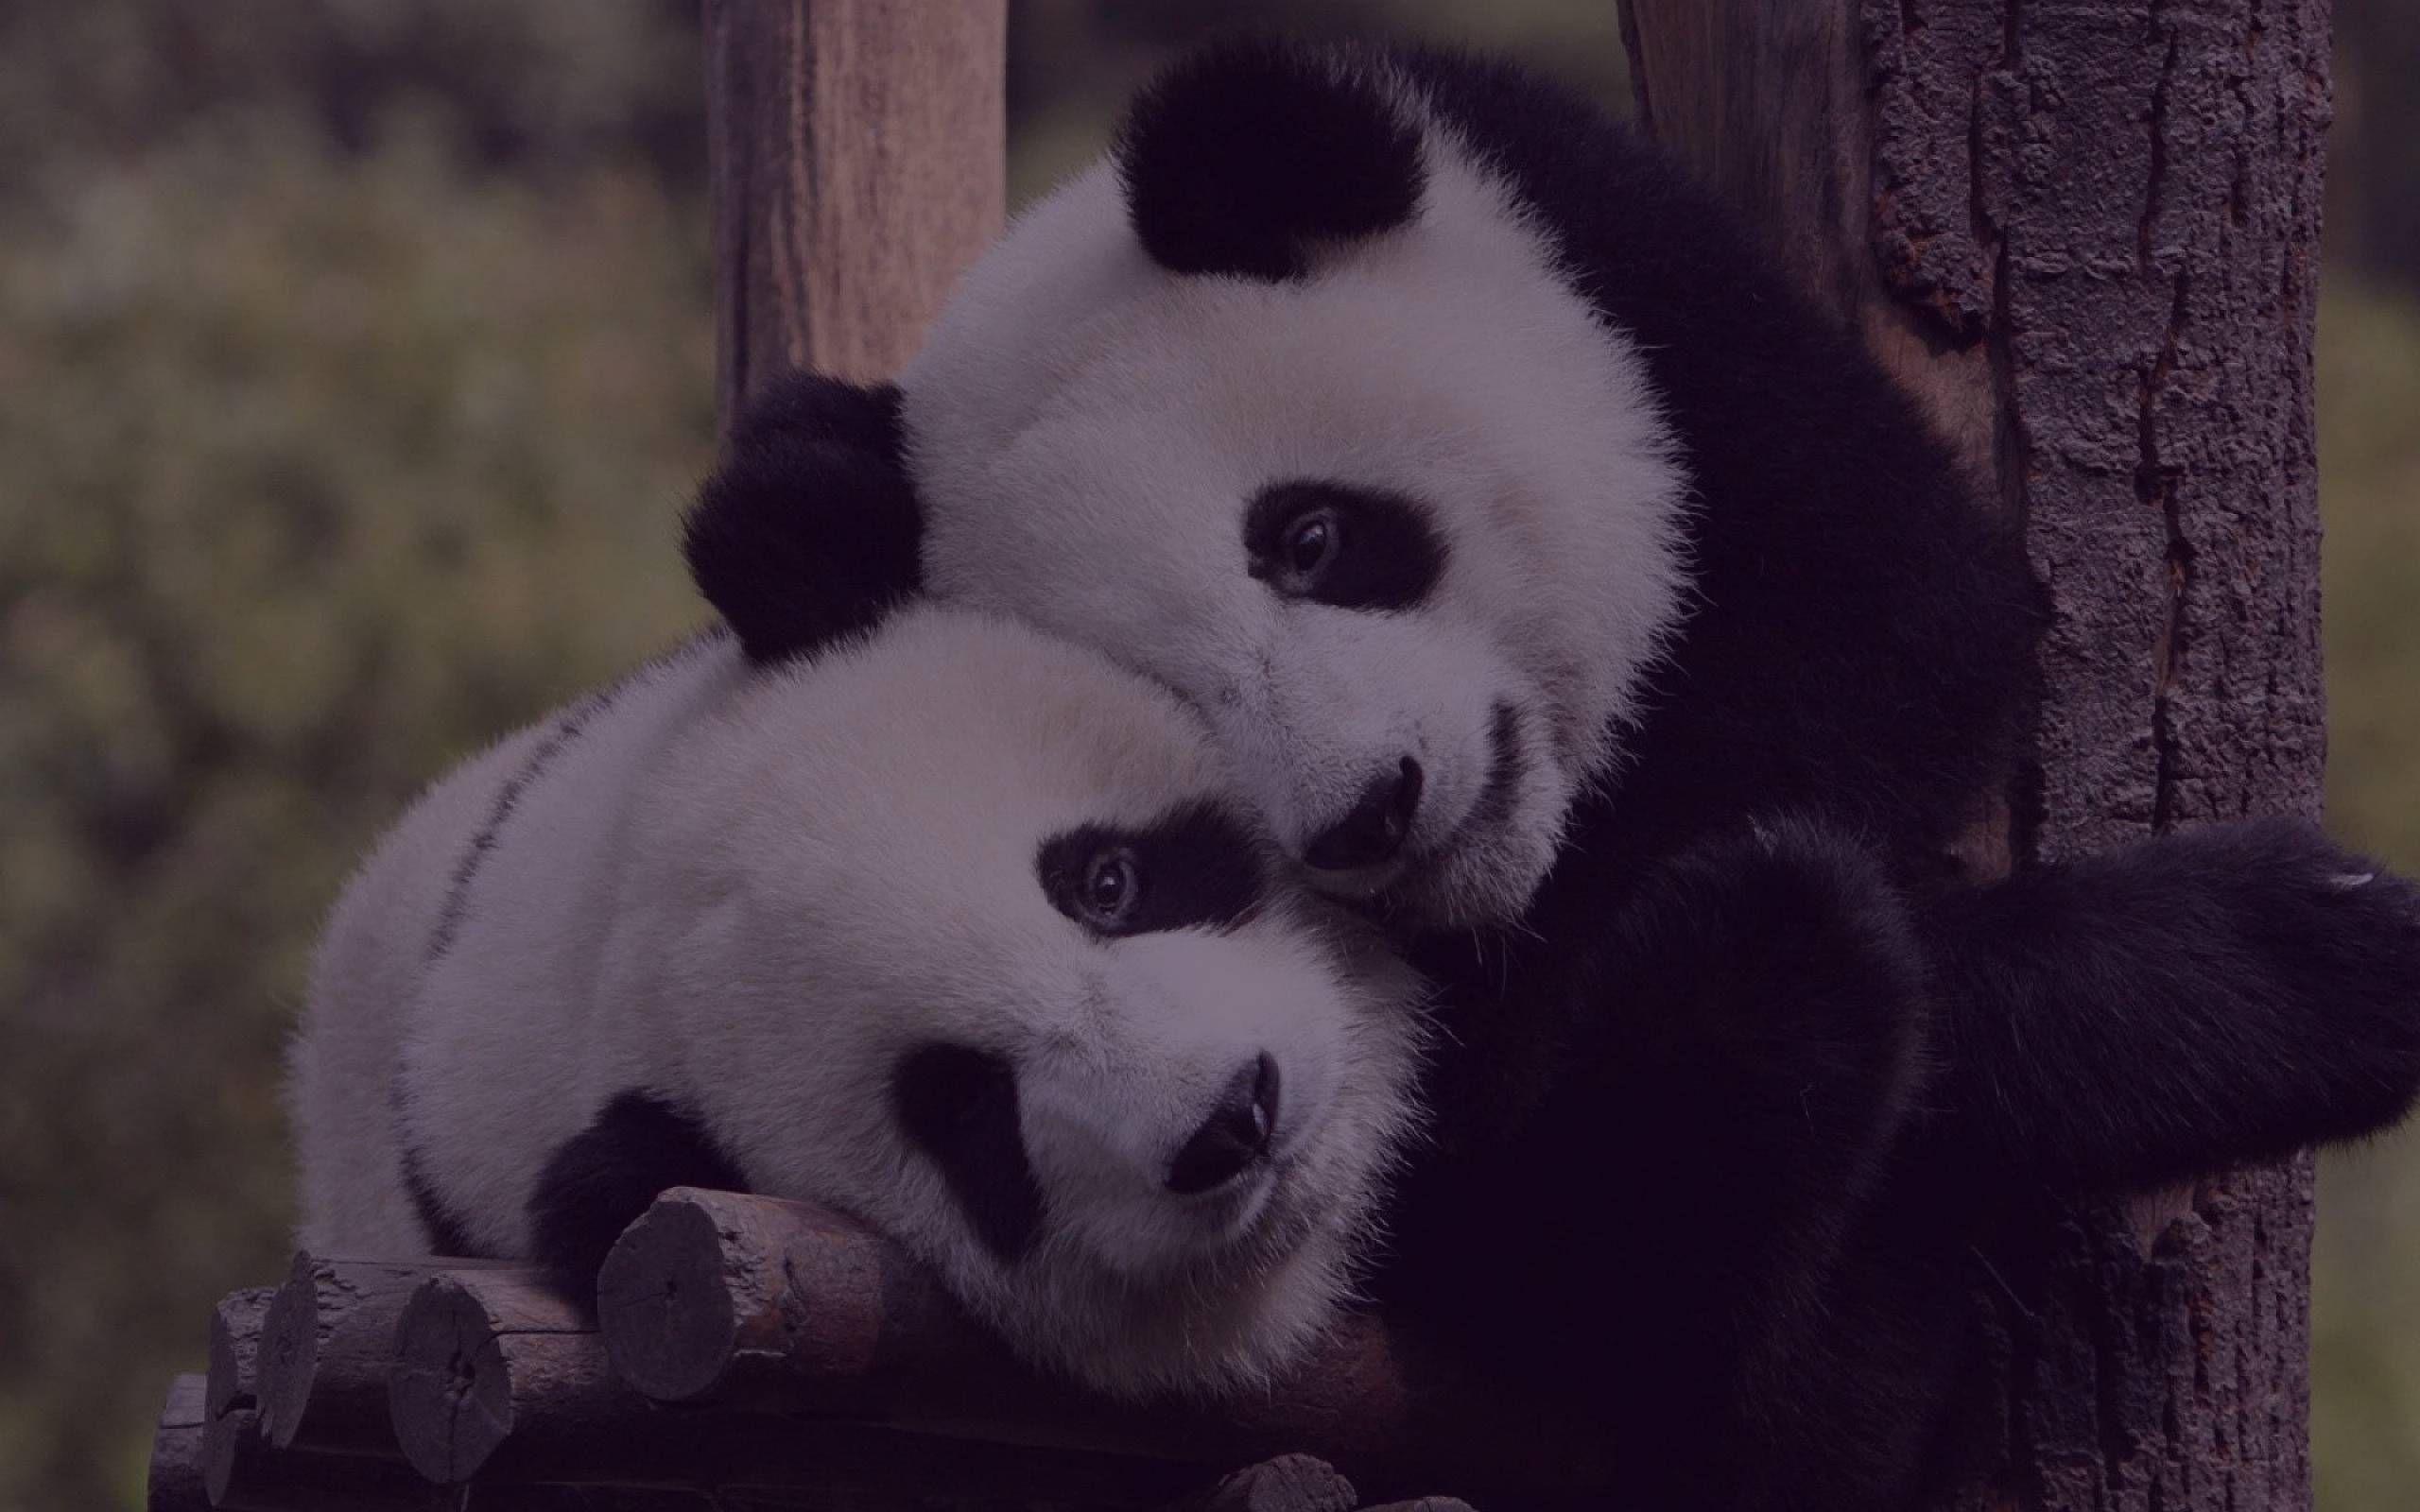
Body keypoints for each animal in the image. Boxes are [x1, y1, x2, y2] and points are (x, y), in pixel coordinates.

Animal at [683, 37, 2420, 1511]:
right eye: (1174, 701)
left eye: (1311, 537)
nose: (1372, 811)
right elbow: (1544, 1204)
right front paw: (2301, 957)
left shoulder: (1662, 310)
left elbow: (1902, 635)